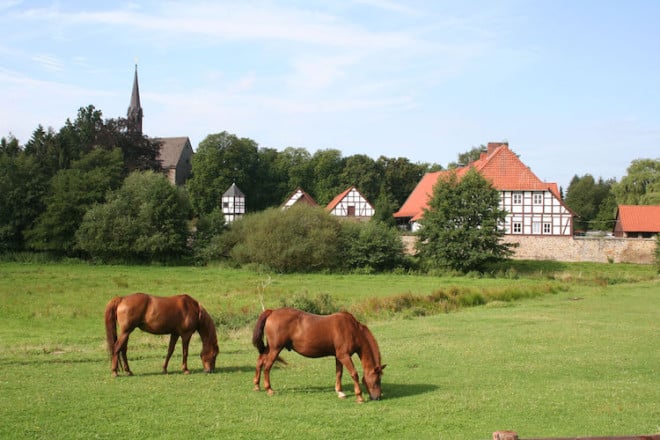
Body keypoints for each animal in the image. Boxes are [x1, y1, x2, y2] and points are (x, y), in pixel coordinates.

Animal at [253, 308, 386, 404]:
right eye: (376, 381)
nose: (377, 397)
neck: (352, 330)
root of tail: (272, 312)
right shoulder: (344, 356)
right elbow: (354, 374)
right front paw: (359, 397)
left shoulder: (339, 356)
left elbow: (339, 373)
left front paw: (340, 392)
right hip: (275, 349)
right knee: (267, 367)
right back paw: (269, 389)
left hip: (270, 348)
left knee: (259, 362)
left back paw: (257, 386)